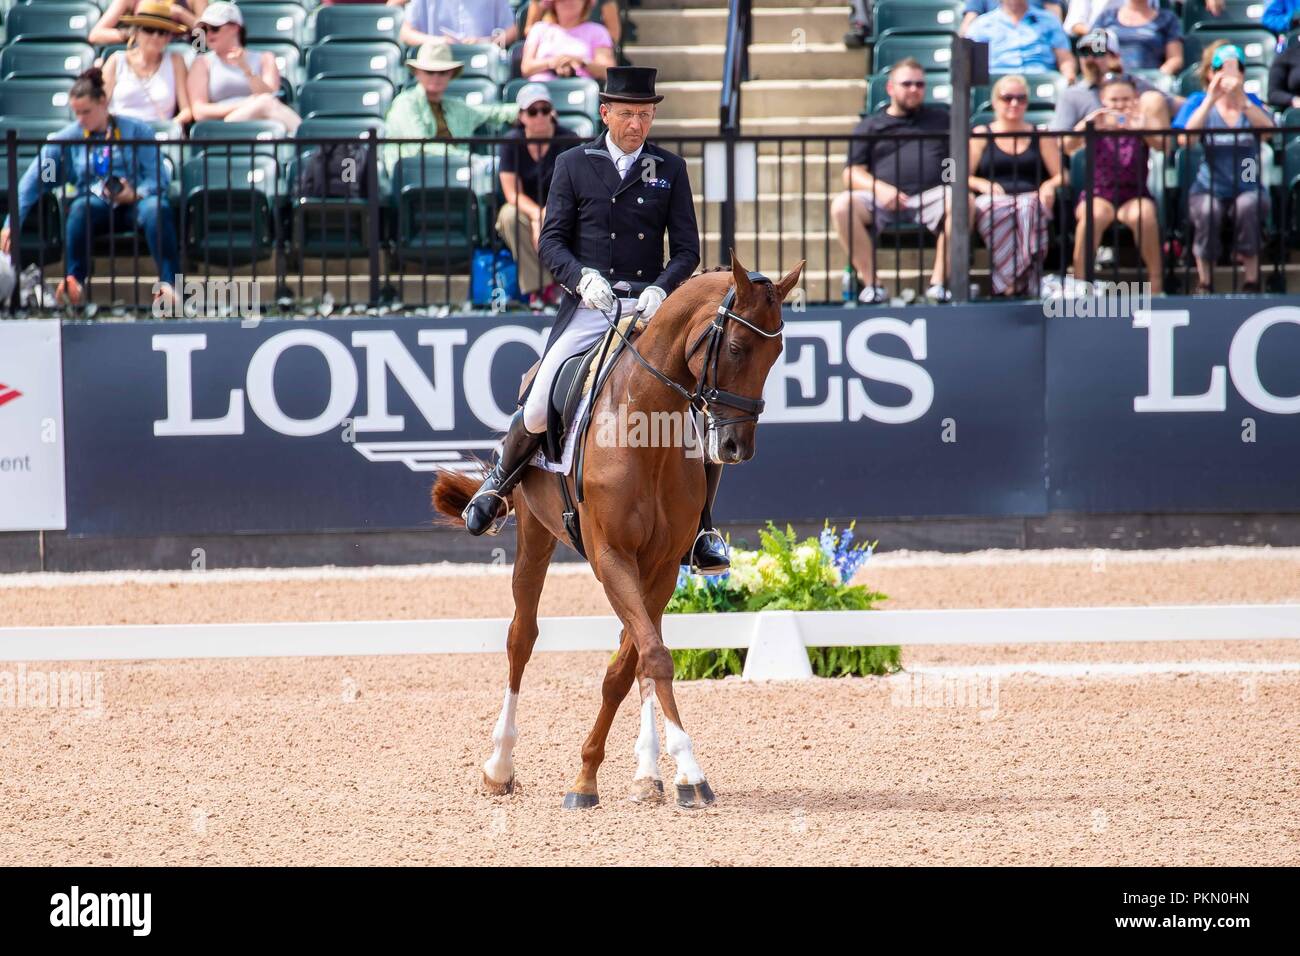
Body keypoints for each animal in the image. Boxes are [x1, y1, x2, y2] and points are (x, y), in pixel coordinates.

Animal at [434, 254, 800, 806]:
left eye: (777, 353)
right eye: (736, 348)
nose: (737, 447)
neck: (645, 425)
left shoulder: (663, 565)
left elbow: (634, 663)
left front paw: (616, 773)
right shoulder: (611, 557)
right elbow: (652, 656)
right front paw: (686, 768)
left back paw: (647, 773)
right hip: (535, 533)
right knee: (521, 637)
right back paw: (499, 766)